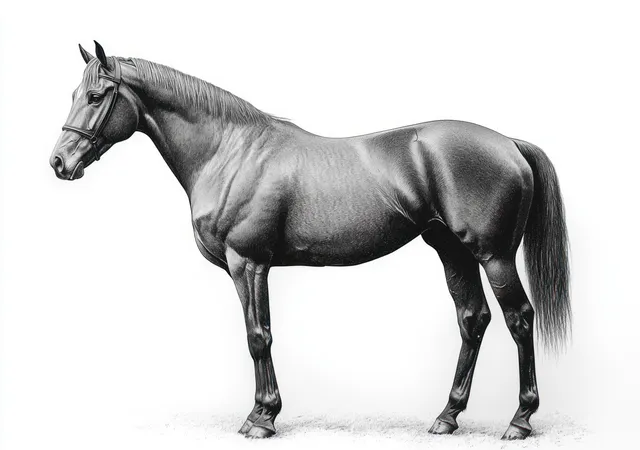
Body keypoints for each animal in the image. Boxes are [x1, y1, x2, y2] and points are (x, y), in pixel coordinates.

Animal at [50, 41, 571, 440]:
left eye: (95, 95)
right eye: (75, 92)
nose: (59, 161)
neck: (229, 152)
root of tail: (508, 143)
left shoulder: (248, 263)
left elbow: (258, 336)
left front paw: (262, 418)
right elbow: (257, 335)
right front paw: (262, 414)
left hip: (493, 255)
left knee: (519, 319)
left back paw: (520, 421)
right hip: (452, 251)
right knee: (473, 319)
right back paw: (447, 417)